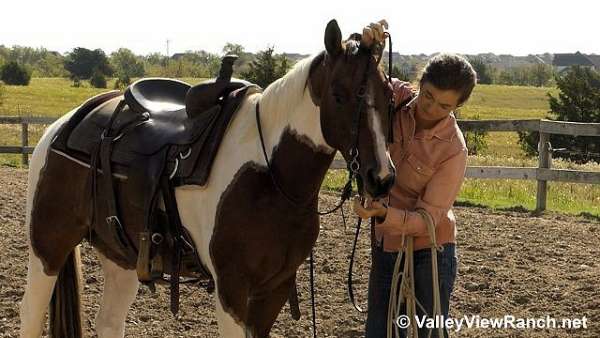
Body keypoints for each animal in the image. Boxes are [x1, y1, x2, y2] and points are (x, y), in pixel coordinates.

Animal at [18, 19, 396, 336]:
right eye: (338, 96)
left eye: (389, 96)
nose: (381, 177)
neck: (271, 177)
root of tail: (62, 126)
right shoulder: (231, 289)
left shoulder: (273, 289)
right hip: (48, 246)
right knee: (31, 313)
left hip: (119, 256)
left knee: (109, 321)